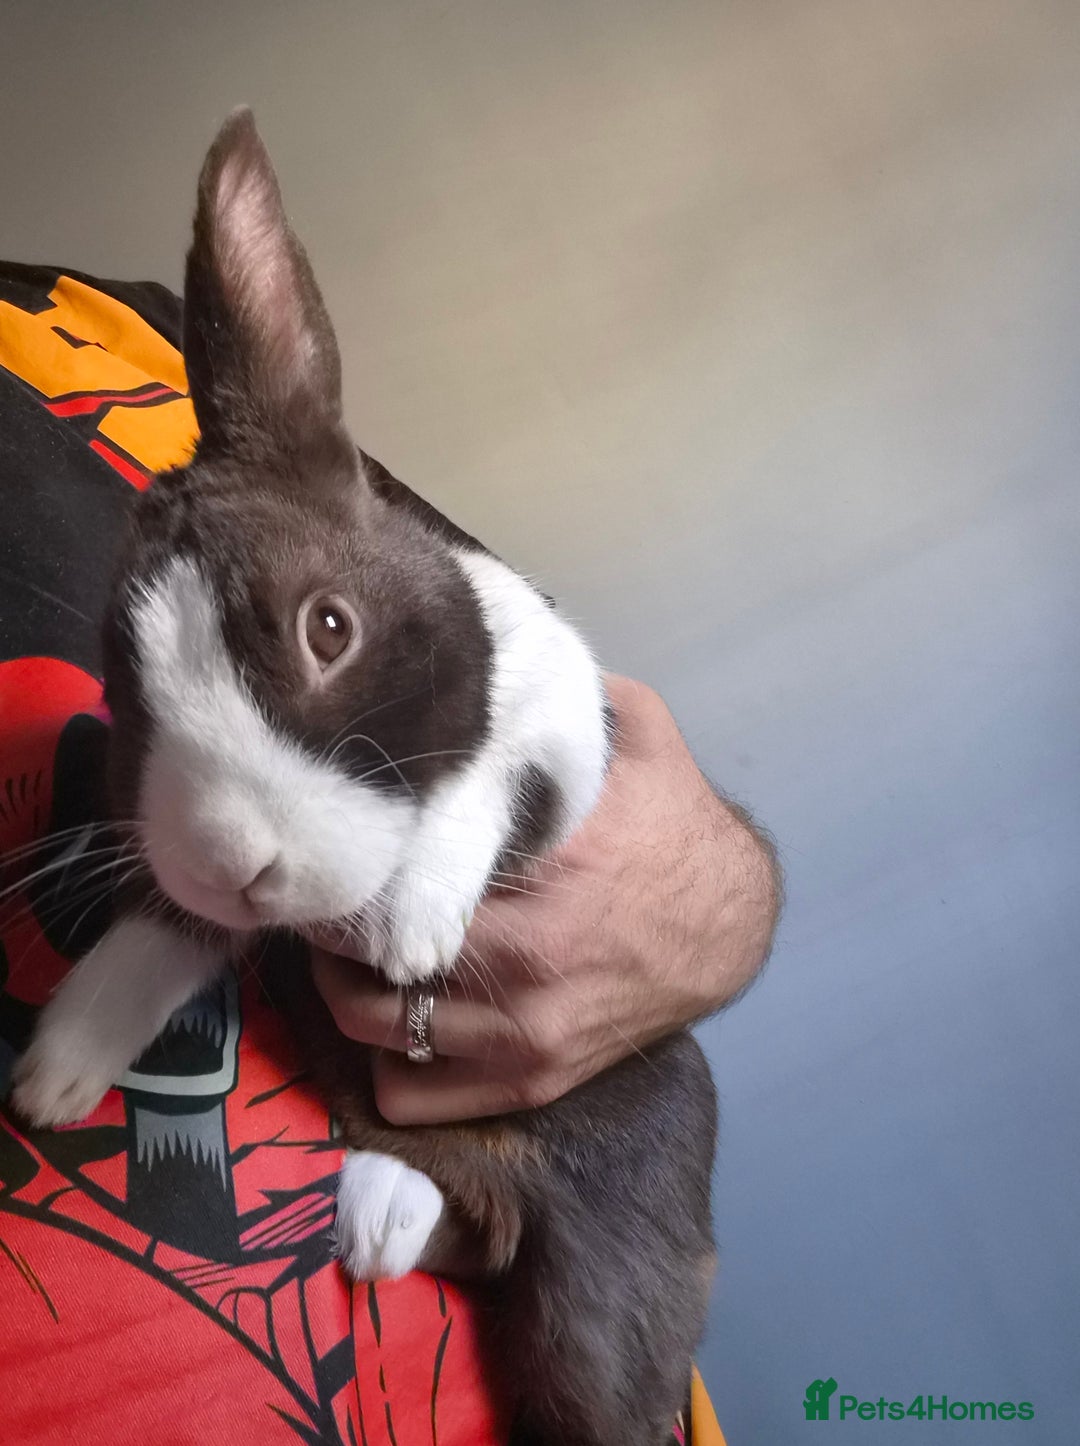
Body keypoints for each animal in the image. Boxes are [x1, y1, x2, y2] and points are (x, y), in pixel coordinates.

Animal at [12, 110, 717, 1446]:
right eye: (123, 682)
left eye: (327, 629)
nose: (239, 862)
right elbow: (157, 936)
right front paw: (56, 1074)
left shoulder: (566, 726)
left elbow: (486, 771)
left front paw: (410, 928)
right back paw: (380, 1212)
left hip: (600, 1302)